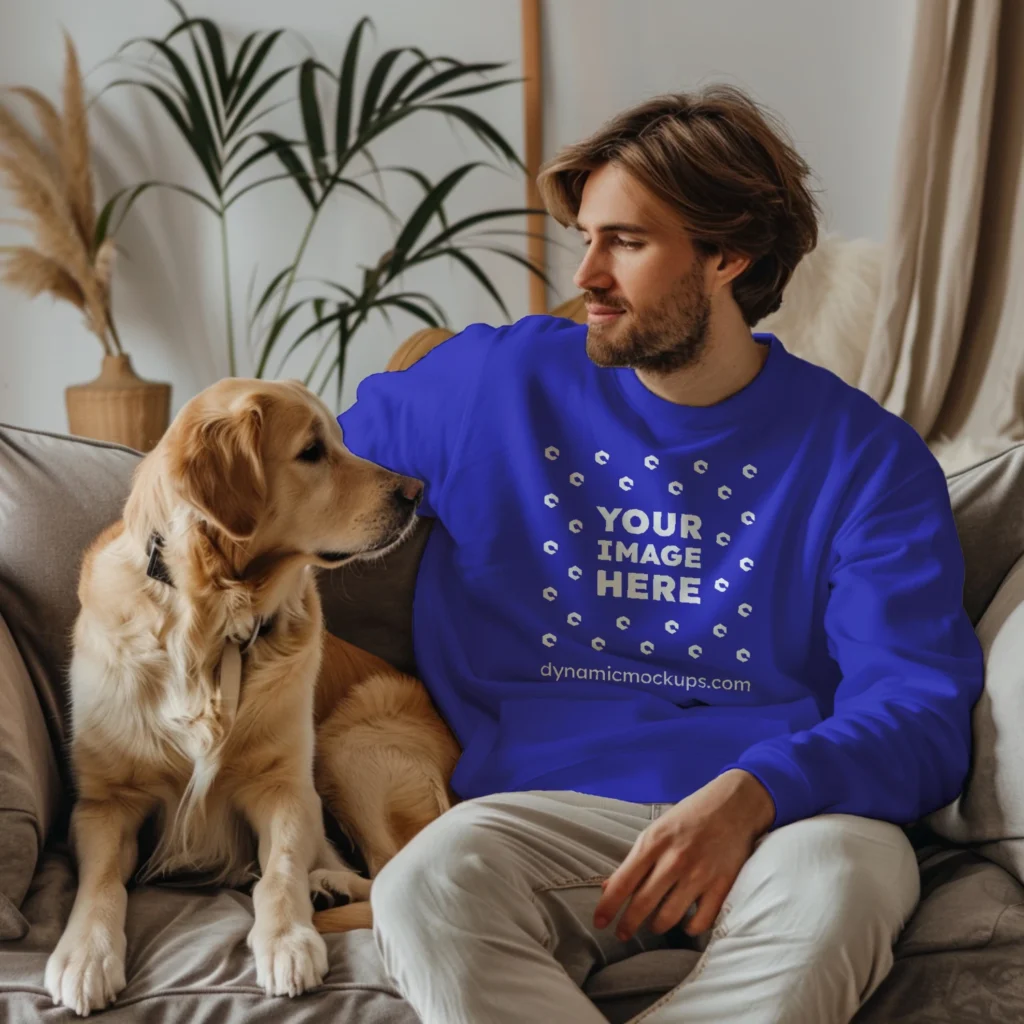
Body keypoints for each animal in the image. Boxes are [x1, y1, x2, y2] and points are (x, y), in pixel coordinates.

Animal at [45, 378, 456, 1015]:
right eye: (312, 451)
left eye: (342, 440)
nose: (416, 494)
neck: (212, 623)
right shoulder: (104, 803)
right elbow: (102, 882)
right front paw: (85, 954)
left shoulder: (285, 787)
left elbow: (280, 870)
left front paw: (288, 940)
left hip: (349, 747)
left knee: (390, 872)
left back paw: (329, 888)